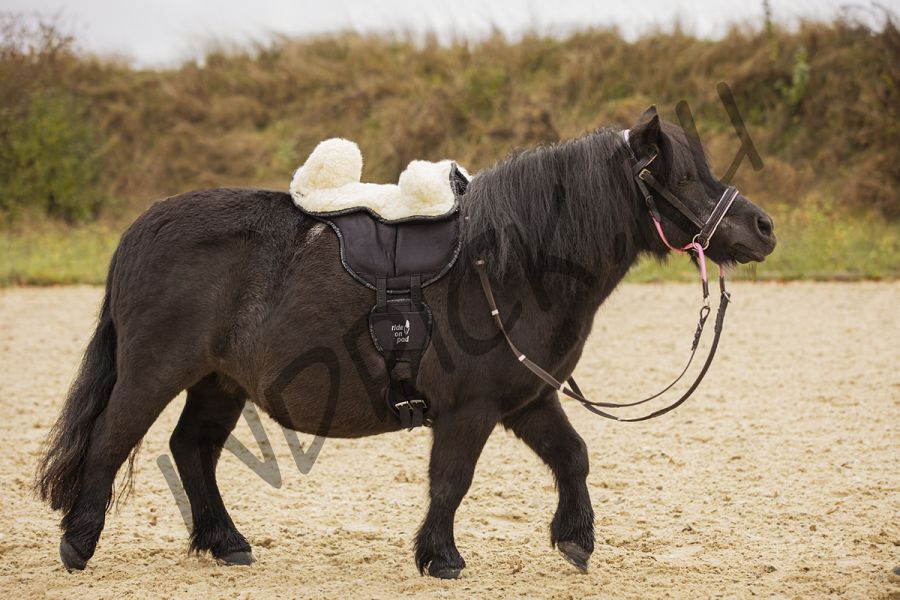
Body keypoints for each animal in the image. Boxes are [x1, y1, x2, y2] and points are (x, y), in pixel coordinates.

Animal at [36, 107, 776, 578]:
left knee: (193, 451)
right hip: (154, 373)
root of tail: (142, 230)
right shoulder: (470, 410)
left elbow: (573, 457)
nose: (762, 228)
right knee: (111, 442)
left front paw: (575, 540)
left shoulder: (526, 400)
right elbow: (451, 480)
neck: (507, 263)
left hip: (218, 383)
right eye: (681, 176)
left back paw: (226, 542)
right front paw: (440, 557)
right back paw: (79, 545)